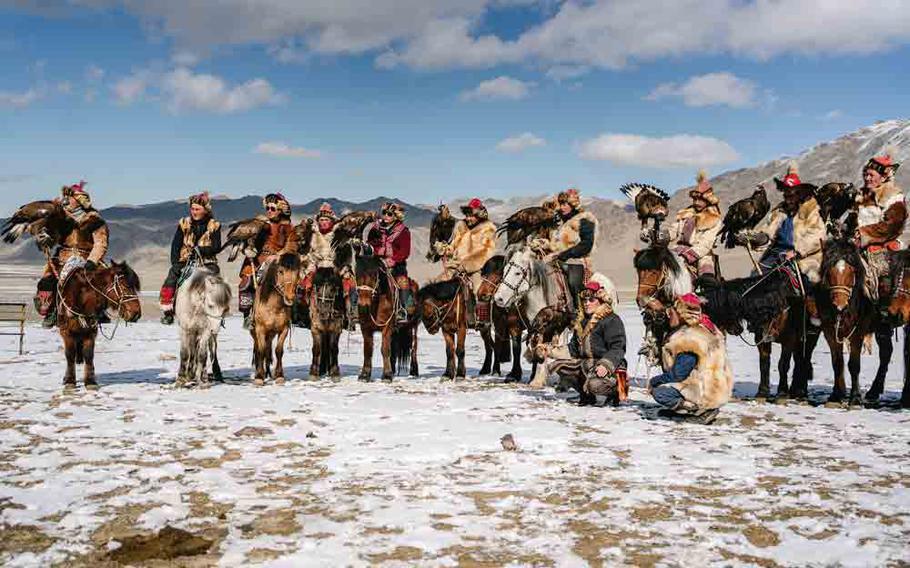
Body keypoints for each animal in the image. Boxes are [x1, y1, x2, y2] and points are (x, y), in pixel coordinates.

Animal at [251, 253, 302, 386]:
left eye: (298, 272)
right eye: (280, 271)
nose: (290, 297)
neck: (273, 307)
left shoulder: (284, 329)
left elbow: (278, 351)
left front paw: (279, 376)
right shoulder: (260, 330)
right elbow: (261, 351)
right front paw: (259, 377)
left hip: (271, 334)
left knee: (268, 350)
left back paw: (268, 373)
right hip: (255, 334)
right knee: (259, 350)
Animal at [354, 253, 418, 382]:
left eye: (374, 275)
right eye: (356, 274)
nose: (363, 305)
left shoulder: (387, 327)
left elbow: (385, 349)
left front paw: (387, 375)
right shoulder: (365, 327)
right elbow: (368, 350)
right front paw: (364, 375)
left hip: (413, 326)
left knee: (414, 347)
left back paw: (413, 371)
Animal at [478, 254, 528, 382]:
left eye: (499, 274)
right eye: (484, 275)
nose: (482, 294)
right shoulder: (505, 324)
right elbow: (507, 346)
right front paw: (504, 372)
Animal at [498, 243, 620, 386]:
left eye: (517, 273)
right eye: (504, 270)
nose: (498, 298)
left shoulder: (557, 328)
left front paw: (537, 381)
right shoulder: (536, 328)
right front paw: (536, 379)